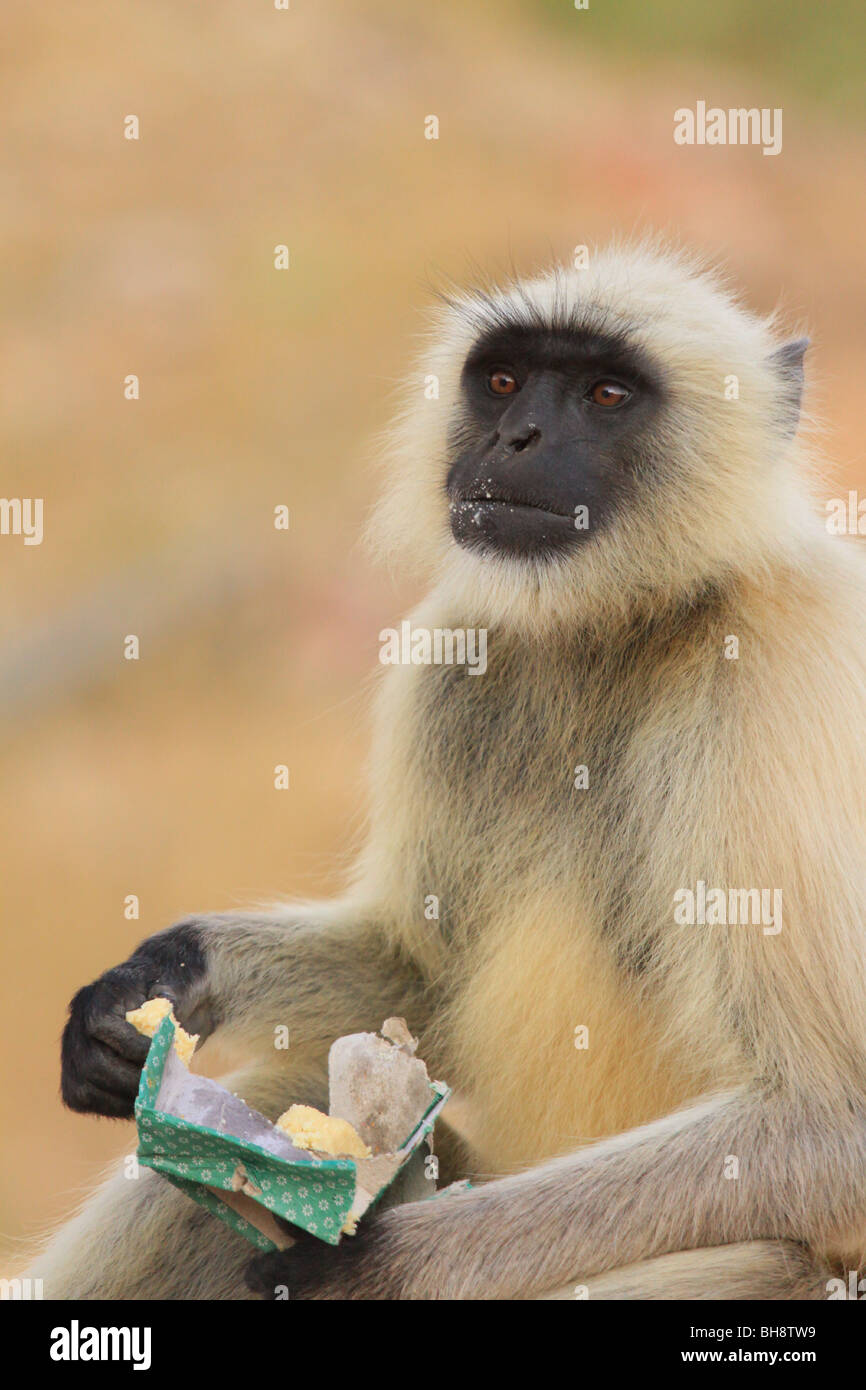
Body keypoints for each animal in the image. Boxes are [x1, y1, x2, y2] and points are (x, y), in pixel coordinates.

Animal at [27, 244, 866, 1295]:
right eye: (503, 381)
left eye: (606, 393)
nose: (517, 436)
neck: (623, 620)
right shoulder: (455, 656)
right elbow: (419, 974)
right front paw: (155, 988)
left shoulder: (775, 664)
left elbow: (825, 1123)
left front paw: (351, 1263)